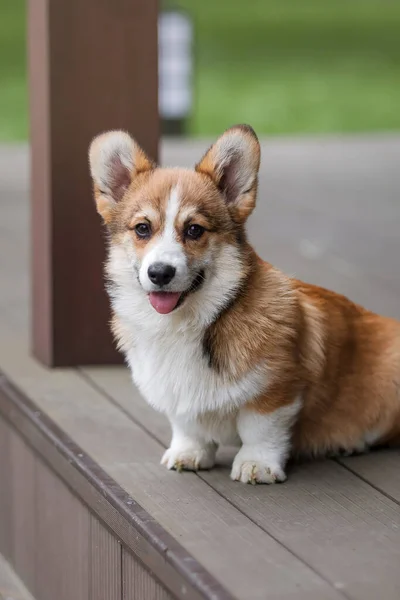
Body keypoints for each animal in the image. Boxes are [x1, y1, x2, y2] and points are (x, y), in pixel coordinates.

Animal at [89, 125, 400, 482]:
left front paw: (257, 465)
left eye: (194, 230)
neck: (187, 324)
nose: (160, 273)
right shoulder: (177, 395)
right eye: (142, 228)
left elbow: (260, 429)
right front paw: (188, 453)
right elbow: (186, 426)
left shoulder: (277, 390)